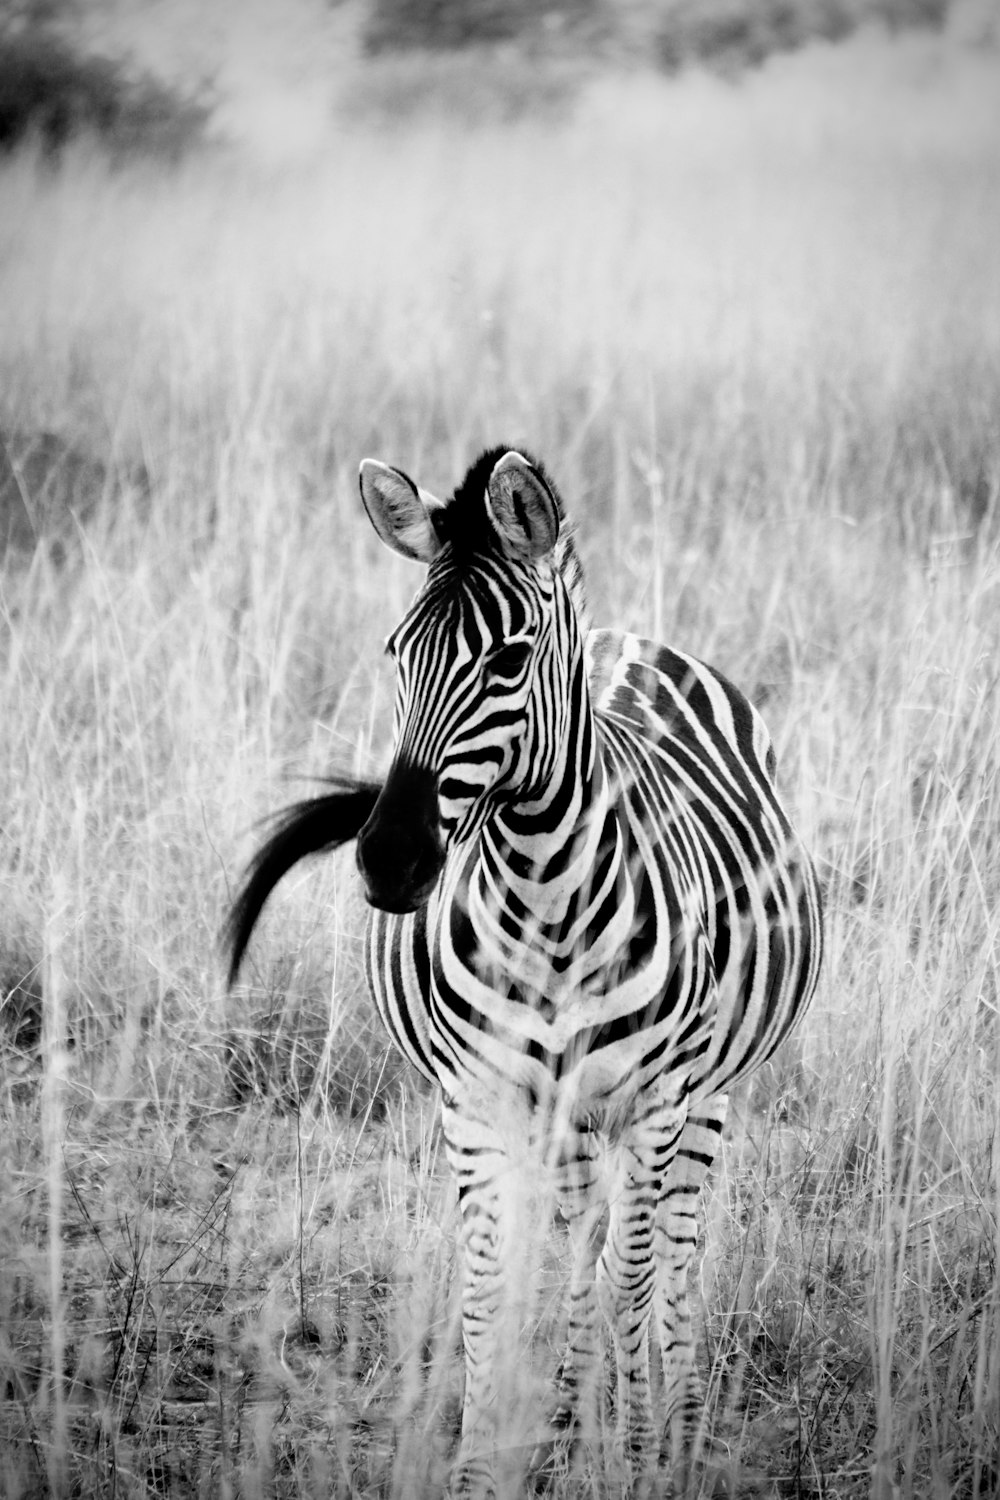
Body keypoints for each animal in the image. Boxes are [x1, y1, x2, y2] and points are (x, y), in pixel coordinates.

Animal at [229, 444, 827, 1500]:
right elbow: (493, 1288)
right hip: (570, 1117)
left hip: (705, 1096)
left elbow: (631, 1280)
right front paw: (493, 1461)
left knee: (670, 1256)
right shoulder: (476, 1100)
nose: (390, 860)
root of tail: (633, 643)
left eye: (507, 661)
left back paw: (672, 1431)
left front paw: (637, 1460)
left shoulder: (656, 1103)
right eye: (397, 652)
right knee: (586, 1250)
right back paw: (578, 1425)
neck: (545, 896)